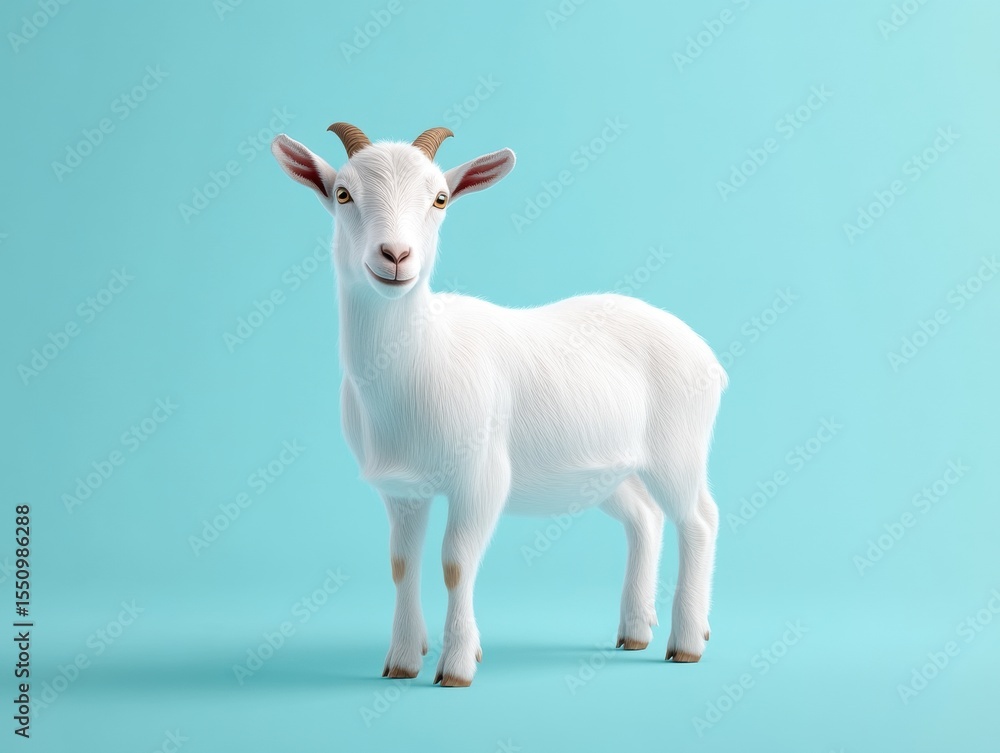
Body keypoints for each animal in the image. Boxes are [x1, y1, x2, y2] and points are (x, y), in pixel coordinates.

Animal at [271, 123, 726, 686]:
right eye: (342, 193)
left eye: (440, 198)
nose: (395, 255)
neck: (420, 360)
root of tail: (706, 354)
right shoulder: (401, 488)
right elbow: (402, 565)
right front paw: (402, 660)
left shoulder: (480, 476)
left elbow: (456, 563)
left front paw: (456, 666)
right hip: (605, 469)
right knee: (645, 518)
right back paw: (636, 631)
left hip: (677, 449)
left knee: (699, 520)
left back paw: (686, 642)